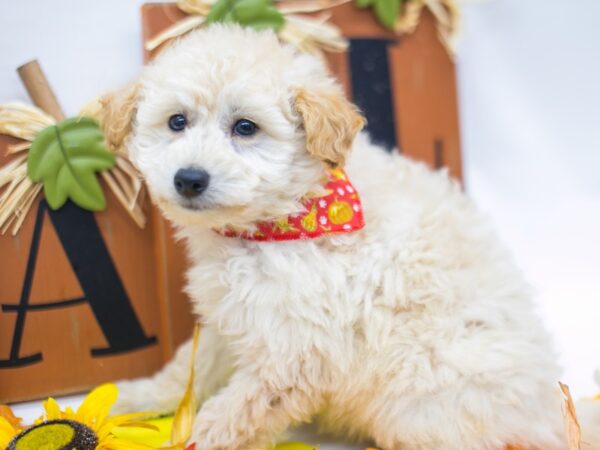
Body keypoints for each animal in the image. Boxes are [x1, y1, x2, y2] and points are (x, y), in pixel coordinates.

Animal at [98, 23, 564, 450]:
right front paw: (137, 397)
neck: (290, 214)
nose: (189, 179)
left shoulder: (297, 348)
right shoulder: (234, 315)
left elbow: (239, 411)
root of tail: (547, 416)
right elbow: (190, 368)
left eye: (245, 128)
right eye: (177, 122)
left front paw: (200, 436)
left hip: (424, 396)